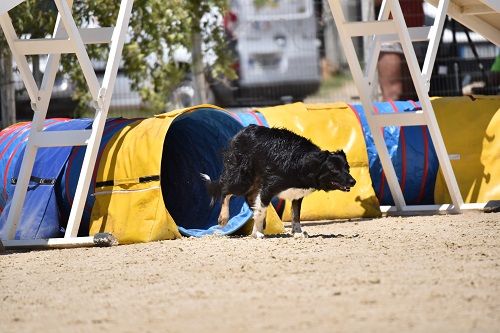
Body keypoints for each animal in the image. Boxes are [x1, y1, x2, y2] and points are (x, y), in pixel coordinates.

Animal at [200, 123, 356, 237]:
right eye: (334, 171)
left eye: (347, 168)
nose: (353, 182)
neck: (303, 163)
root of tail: (243, 131)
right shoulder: (269, 188)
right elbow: (261, 211)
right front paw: (257, 233)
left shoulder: (297, 194)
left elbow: (296, 215)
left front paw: (298, 233)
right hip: (242, 178)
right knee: (226, 191)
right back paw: (224, 218)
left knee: (248, 197)